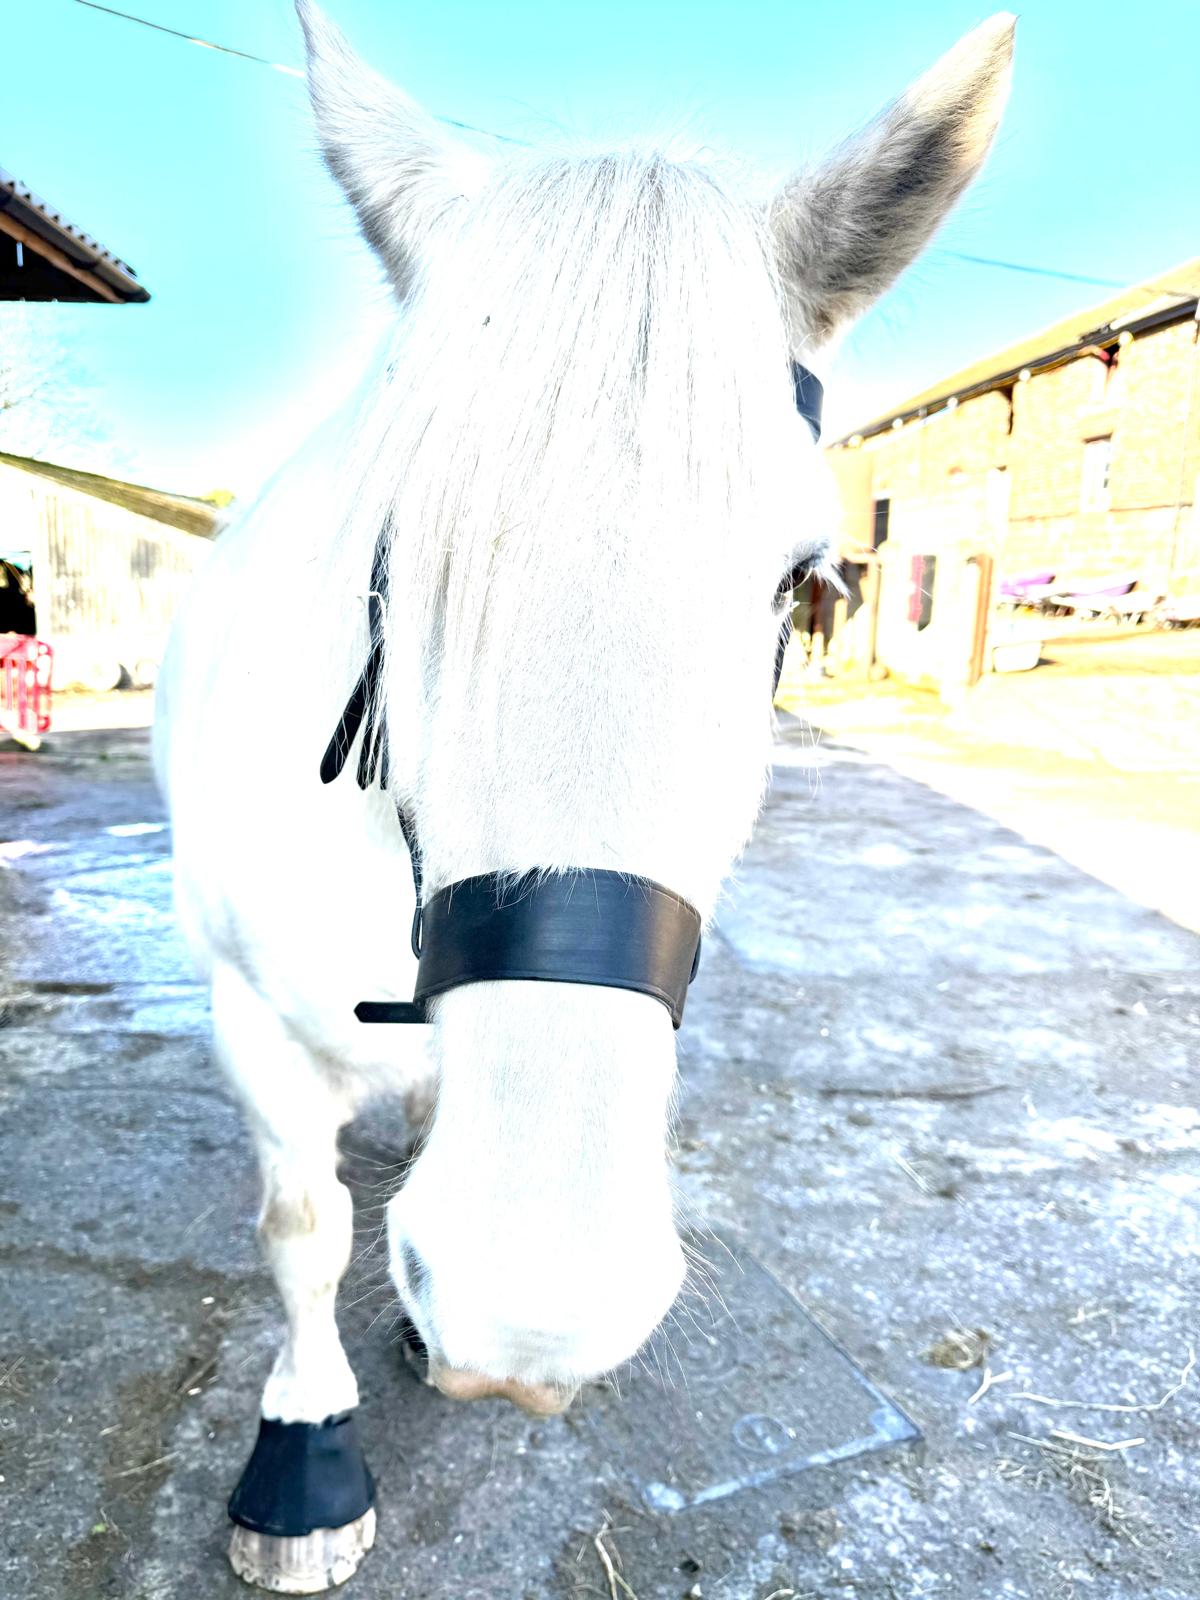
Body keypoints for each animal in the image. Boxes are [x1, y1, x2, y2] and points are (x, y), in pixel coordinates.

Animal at [154, 2, 1013, 1587]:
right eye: (393, 548)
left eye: (803, 584)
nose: (529, 1312)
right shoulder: (244, 1007)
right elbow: (299, 1226)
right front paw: (305, 1447)